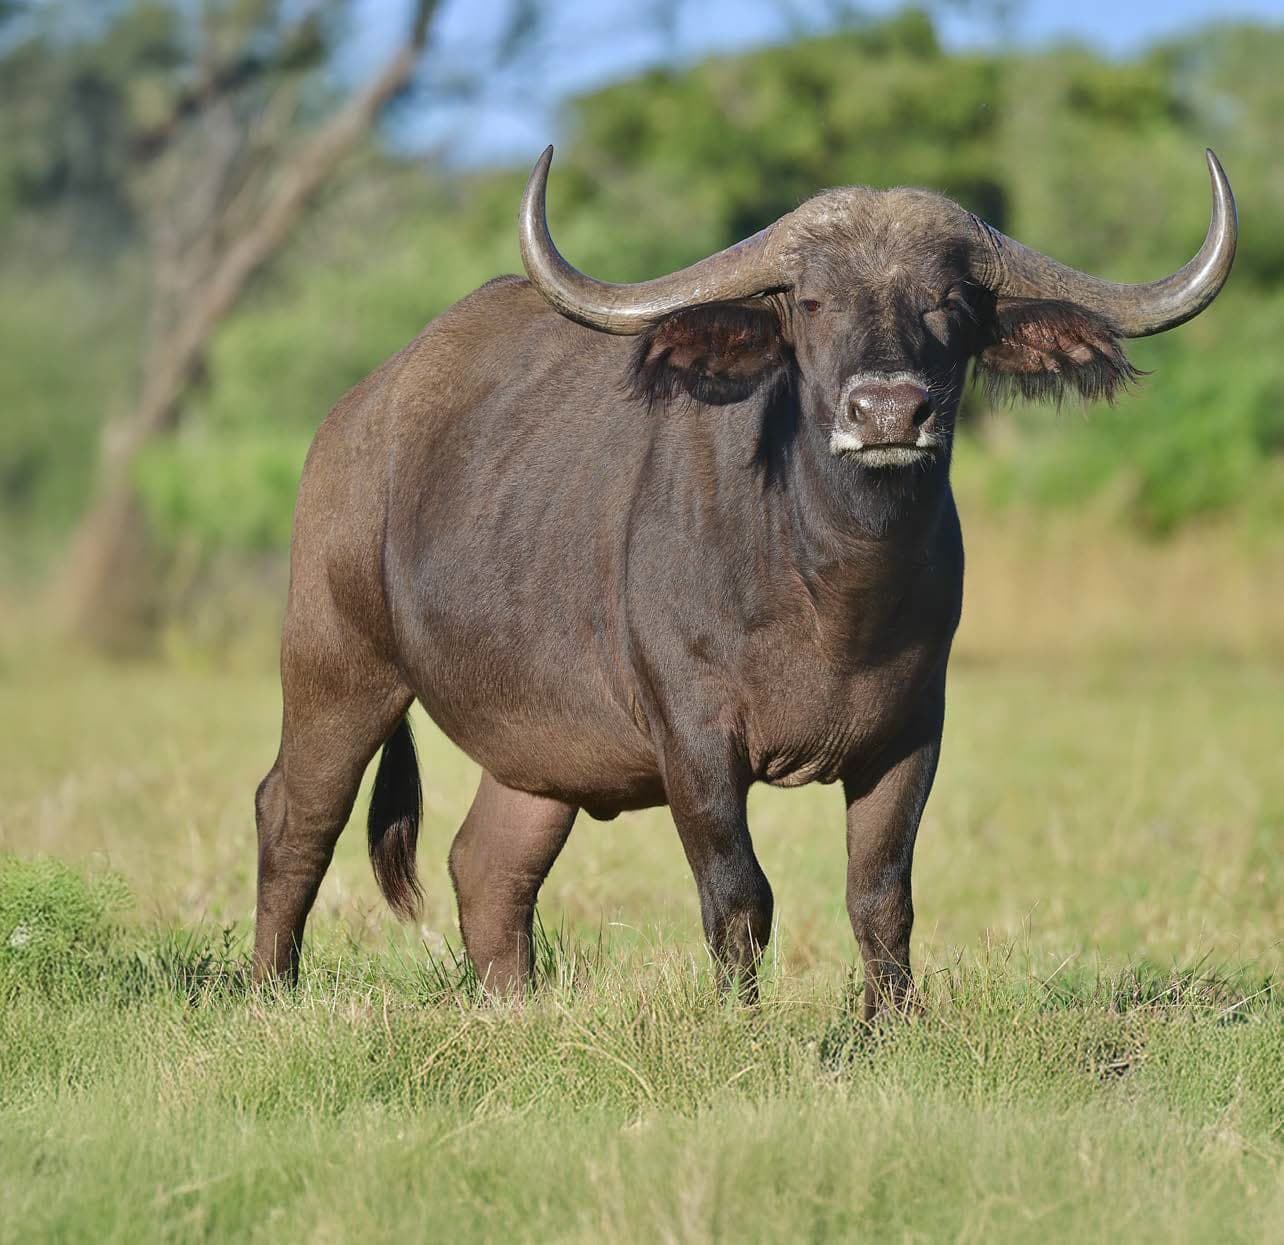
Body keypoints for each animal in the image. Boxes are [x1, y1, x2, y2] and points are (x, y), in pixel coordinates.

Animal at [253, 147, 1235, 1016]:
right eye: (811, 300)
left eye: (948, 300)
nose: (888, 410)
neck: (833, 593)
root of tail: (351, 417)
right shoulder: (694, 737)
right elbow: (739, 896)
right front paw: (745, 1021)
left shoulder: (912, 733)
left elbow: (882, 895)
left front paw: (889, 1025)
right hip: (338, 665)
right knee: (295, 813)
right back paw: (269, 990)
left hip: (539, 749)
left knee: (489, 863)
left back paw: (512, 1007)